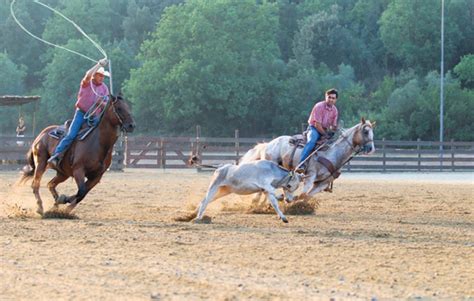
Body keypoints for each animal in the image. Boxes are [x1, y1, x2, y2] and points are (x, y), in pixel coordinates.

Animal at [243, 117, 376, 202]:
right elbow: (303, 193)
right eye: (365, 131)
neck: (332, 153)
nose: (371, 148)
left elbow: (306, 196)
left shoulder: (323, 183)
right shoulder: (310, 176)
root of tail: (269, 144)